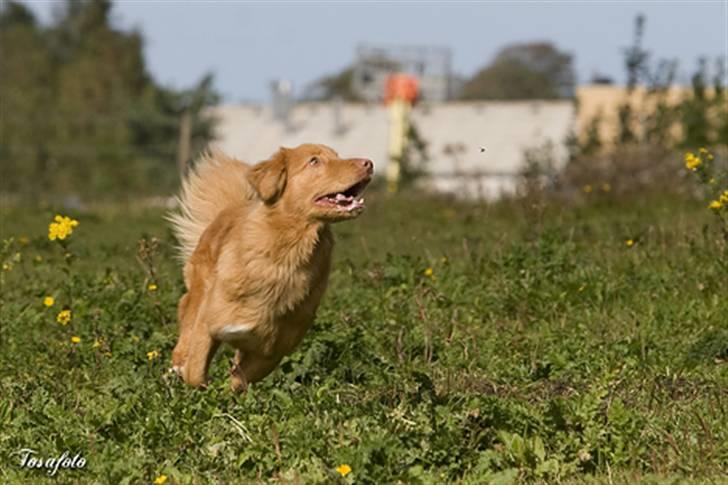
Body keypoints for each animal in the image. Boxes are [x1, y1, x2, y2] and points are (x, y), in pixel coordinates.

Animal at [168, 143, 372, 390]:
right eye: (314, 161)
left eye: (337, 156)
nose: (369, 163)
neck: (287, 252)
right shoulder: (210, 325)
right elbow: (195, 373)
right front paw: (198, 385)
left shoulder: (271, 351)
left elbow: (240, 379)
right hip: (199, 293)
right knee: (186, 324)